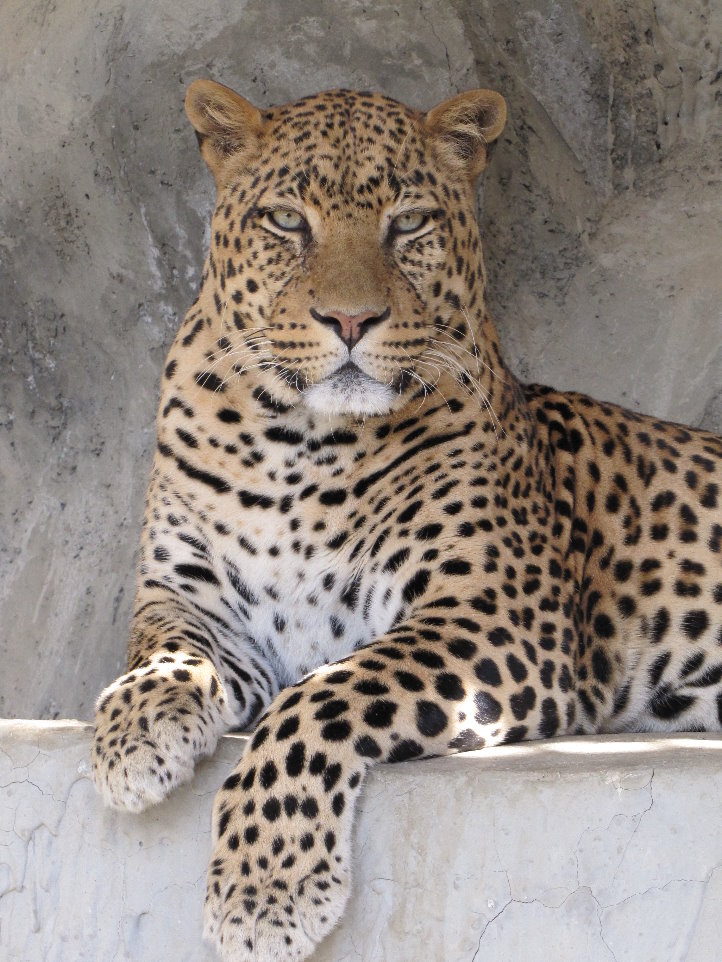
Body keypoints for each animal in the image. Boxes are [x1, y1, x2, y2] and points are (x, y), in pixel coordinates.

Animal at [92, 79, 722, 962]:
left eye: (410, 222)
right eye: (287, 220)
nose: (351, 321)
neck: (299, 444)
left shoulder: (493, 618)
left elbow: (320, 699)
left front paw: (266, 886)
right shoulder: (191, 598)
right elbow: (160, 653)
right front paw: (133, 731)